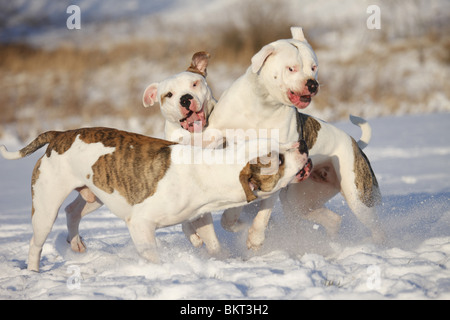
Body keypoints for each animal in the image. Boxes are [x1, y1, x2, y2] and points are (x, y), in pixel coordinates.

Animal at [0, 126, 310, 272]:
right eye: (279, 159)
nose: (301, 145)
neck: (211, 169)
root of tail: (59, 135)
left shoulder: (200, 214)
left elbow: (211, 242)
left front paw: (219, 258)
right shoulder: (141, 224)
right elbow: (151, 254)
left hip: (96, 195)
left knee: (72, 210)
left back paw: (75, 242)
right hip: (46, 205)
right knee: (37, 242)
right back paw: (33, 270)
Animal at [204, 26, 384, 248]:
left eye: (314, 67)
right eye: (291, 69)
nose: (312, 84)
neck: (263, 105)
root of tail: (353, 143)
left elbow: (262, 214)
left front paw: (254, 237)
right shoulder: (216, 134)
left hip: (357, 197)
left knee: (375, 225)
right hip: (300, 201)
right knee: (333, 219)